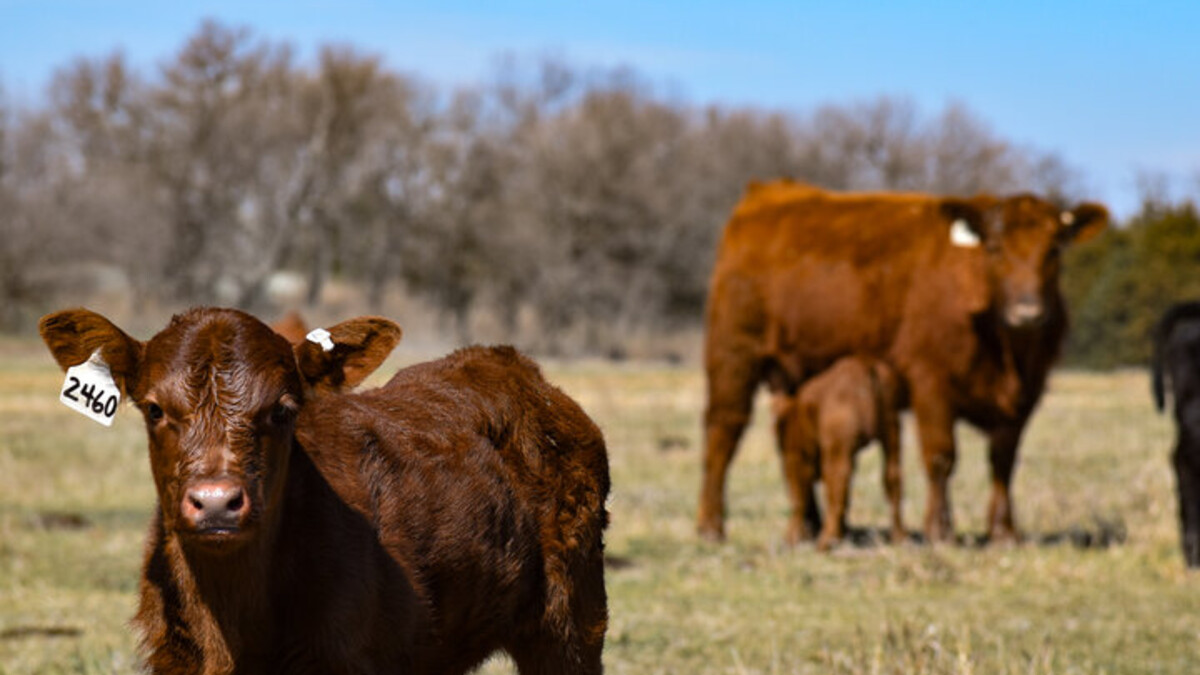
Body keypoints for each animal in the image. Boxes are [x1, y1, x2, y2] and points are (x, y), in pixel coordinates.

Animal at [770, 355, 904, 550]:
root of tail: (864, 364)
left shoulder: (795, 458)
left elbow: (799, 497)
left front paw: (791, 538)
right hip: (891, 433)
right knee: (892, 479)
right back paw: (899, 537)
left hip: (838, 450)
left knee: (836, 486)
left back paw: (826, 542)